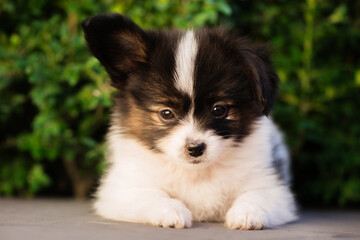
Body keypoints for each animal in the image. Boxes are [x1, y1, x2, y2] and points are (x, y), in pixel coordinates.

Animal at [82, 13, 298, 231]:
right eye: (166, 113)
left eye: (219, 110)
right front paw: (171, 211)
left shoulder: (274, 188)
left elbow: (256, 195)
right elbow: (151, 194)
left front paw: (247, 214)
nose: (195, 148)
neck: (196, 173)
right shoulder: (120, 191)